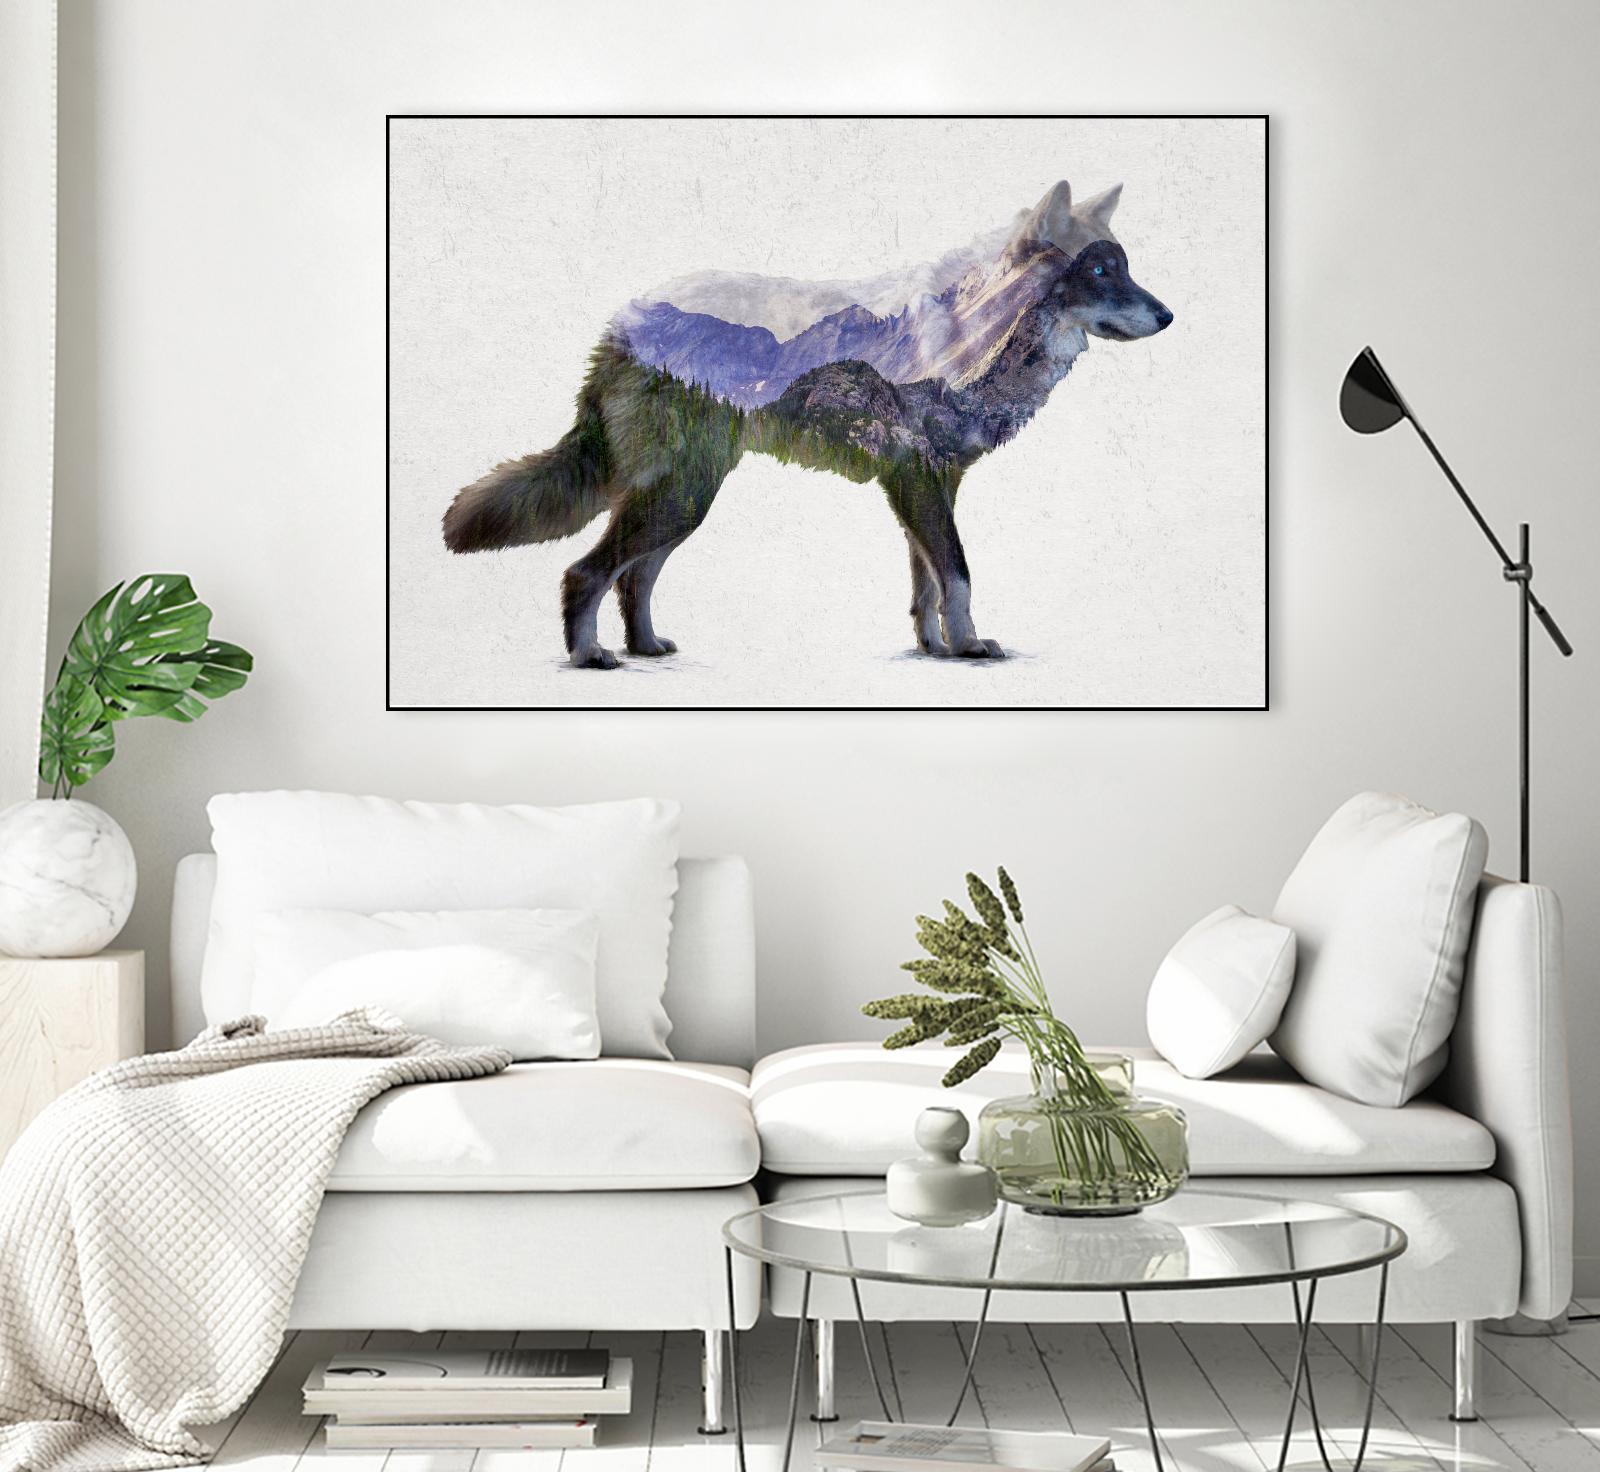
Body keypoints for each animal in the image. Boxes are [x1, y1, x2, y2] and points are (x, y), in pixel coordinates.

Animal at [442, 180, 1172, 668]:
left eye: (1125, 266)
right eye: (1099, 270)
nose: (1169, 316)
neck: (974, 337)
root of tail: (623, 322)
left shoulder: (926, 489)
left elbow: (929, 586)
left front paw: (936, 648)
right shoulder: (918, 484)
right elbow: (959, 576)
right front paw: (968, 648)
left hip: (686, 500)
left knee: (633, 578)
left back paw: (646, 647)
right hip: (681, 498)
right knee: (586, 573)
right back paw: (591, 658)